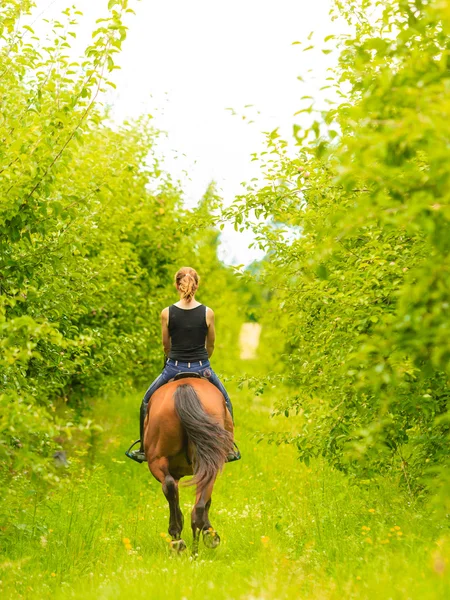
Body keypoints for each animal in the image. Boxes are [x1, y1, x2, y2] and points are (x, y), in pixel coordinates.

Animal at [143, 378, 236, 556]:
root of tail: (185, 386)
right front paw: (210, 534)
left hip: (158, 461)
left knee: (170, 488)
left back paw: (179, 541)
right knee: (197, 504)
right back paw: (194, 550)